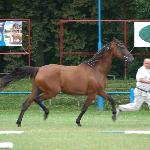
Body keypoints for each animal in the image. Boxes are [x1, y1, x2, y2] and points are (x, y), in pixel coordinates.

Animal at [0, 37, 134, 126]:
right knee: (37, 100)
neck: (96, 70)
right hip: (51, 92)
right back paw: (45, 114)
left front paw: (114, 115)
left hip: (36, 90)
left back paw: (19, 122)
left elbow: (111, 99)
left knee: (26, 103)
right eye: (121, 47)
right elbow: (84, 108)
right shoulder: (93, 93)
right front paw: (78, 122)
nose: (131, 59)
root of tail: (39, 69)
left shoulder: (100, 92)